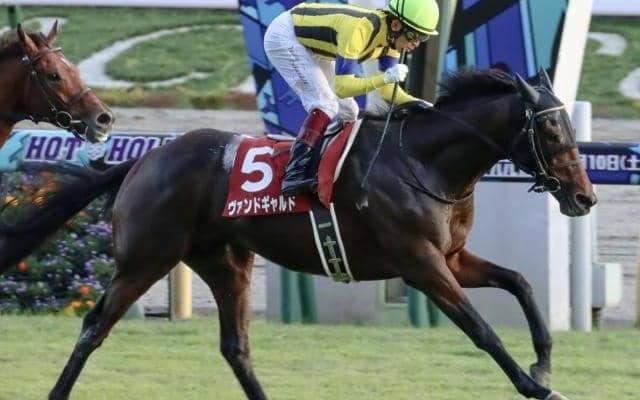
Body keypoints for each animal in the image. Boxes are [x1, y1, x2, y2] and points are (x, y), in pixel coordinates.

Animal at [0, 69, 596, 400]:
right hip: (145, 259)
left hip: (224, 261)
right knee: (93, 328)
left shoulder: (450, 257)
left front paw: (543, 362)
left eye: (569, 125)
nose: (585, 197)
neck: (423, 161)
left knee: (236, 347)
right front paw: (536, 385)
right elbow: (482, 331)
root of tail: (144, 160)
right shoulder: (420, 264)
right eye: (549, 128)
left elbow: (520, 282)